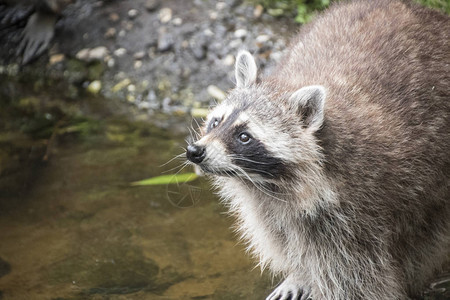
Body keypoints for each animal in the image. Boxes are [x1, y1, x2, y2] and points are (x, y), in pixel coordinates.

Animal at [186, 1, 450, 298]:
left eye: (244, 136)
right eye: (216, 121)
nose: (195, 151)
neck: (267, 183)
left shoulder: (356, 209)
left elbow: (355, 274)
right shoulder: (268, 206)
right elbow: (278, 235)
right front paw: (299, 273)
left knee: (425, 237)